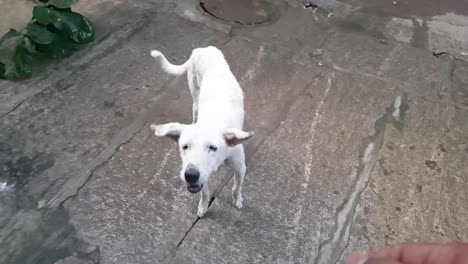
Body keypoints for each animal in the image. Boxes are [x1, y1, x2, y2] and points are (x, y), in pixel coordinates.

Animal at [150, 46, 254, 218]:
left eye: (212, 147)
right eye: (184, 147)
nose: (190, 175)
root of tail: (201, 49)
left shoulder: (240, 167)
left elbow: (237, 186)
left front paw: (237, 199)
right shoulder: (202, 176)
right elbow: (204, 192)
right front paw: (204, 205)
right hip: (195, 92)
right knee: (195, 108)